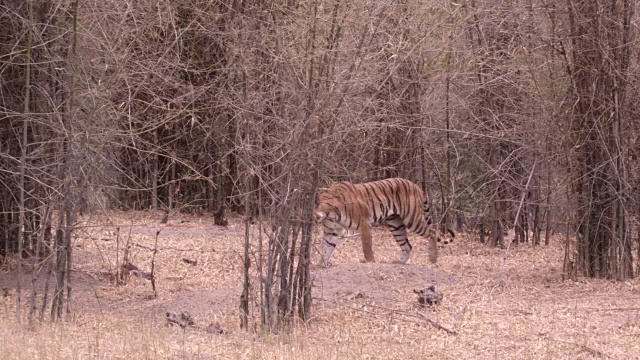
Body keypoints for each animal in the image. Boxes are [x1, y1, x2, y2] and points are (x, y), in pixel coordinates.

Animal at [312, 178, 452, 266]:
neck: (331, 214)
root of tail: (416, 186)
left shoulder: (364, 224)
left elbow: (367, 246)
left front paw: (370, 261)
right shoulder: (332, 231)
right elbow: (327, 247)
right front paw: (322, 264)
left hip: (412, 219)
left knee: (432, 231)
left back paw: (433, 258)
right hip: (396, 225)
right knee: (407, 245)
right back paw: (400, 263)